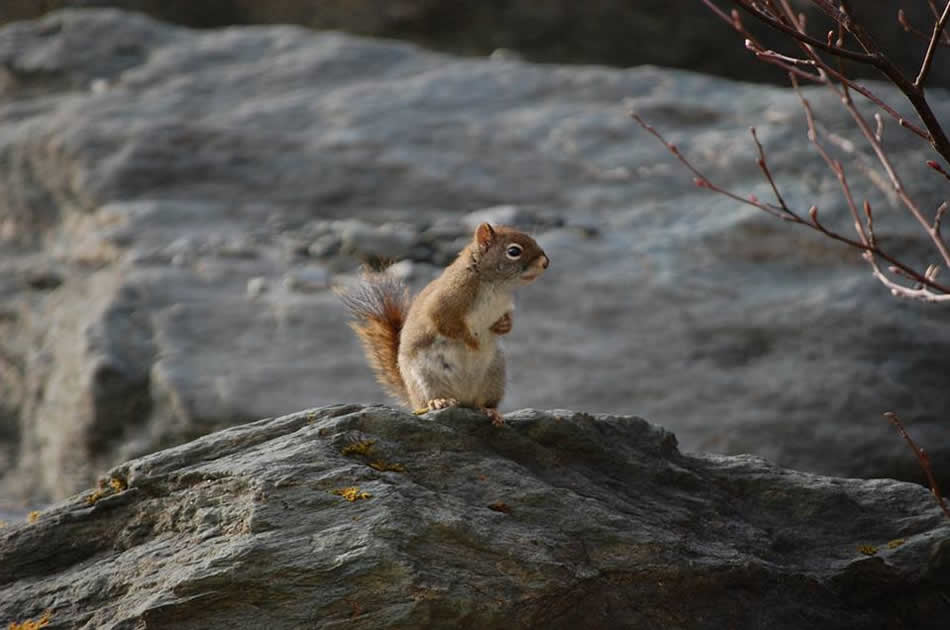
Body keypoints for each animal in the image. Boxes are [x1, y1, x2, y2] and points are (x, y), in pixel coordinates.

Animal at [340, 225, 552, 428]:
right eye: (514, 251)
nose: (546, 263)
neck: (497, 286)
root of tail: (463, 398)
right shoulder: (446, 300)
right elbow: (446, 323)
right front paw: (473, 344)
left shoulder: (503, 307)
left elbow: (505, 324)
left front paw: (503, 326)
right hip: (425, 379)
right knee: (429, 399)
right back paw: (439, 401)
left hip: (495, 377)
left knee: (481, 403)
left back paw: (490, 411)